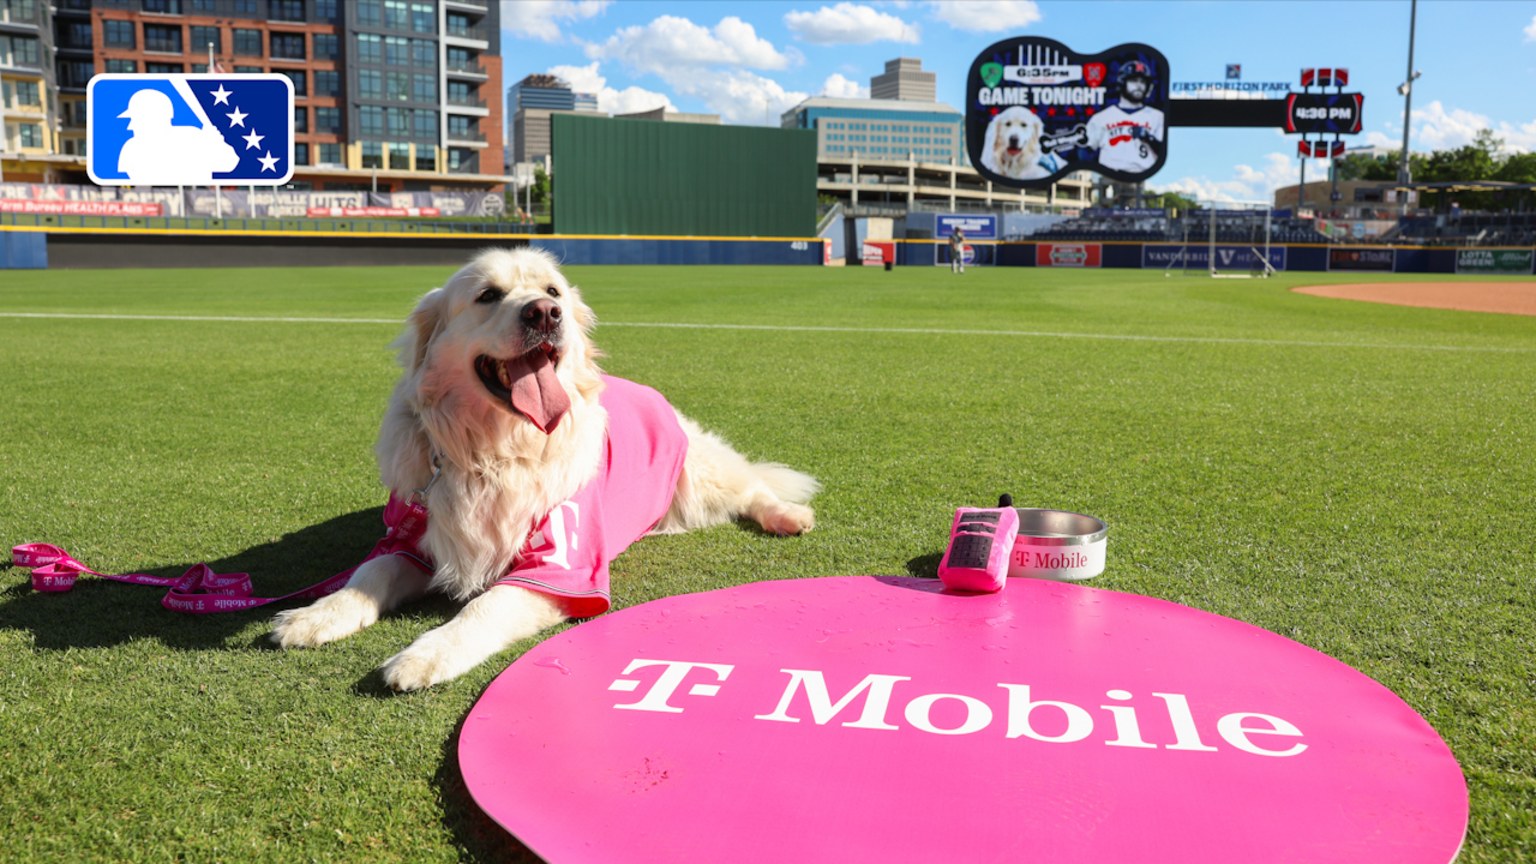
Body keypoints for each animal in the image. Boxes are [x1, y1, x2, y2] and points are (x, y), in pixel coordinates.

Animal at [267, 247, 817, 685]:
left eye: (553, 290)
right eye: (488, 295)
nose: (546, 313)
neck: (495, 451)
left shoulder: (560, 567)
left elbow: (484, 607)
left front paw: (424, 656)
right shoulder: (413, 535)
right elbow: (370, 573)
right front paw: (314, 616)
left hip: (700, 475)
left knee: (752, 487)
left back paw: (788, 516)